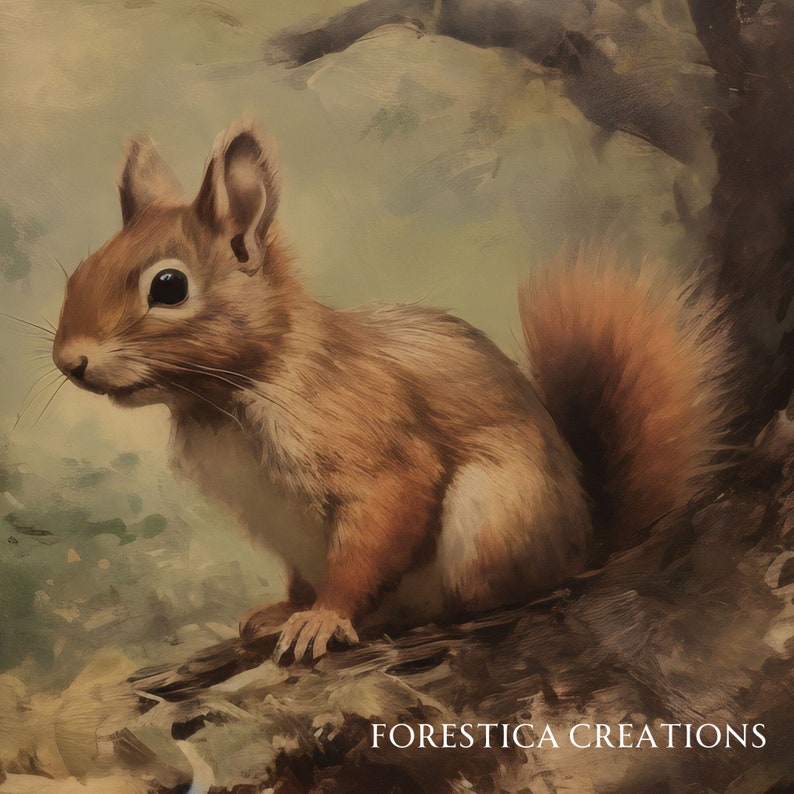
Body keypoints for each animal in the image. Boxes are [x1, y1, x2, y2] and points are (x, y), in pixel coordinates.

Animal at [52, 119, 733, 662]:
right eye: (80, 271)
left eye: (168, 286)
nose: (69, 362)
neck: (230, 392)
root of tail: (586, 543)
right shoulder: (272, 517)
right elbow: (300, 578)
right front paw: (284, 610)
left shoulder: (372, 447)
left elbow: (375, 532)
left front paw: (325, 618)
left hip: (494, 522)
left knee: (491, 594)